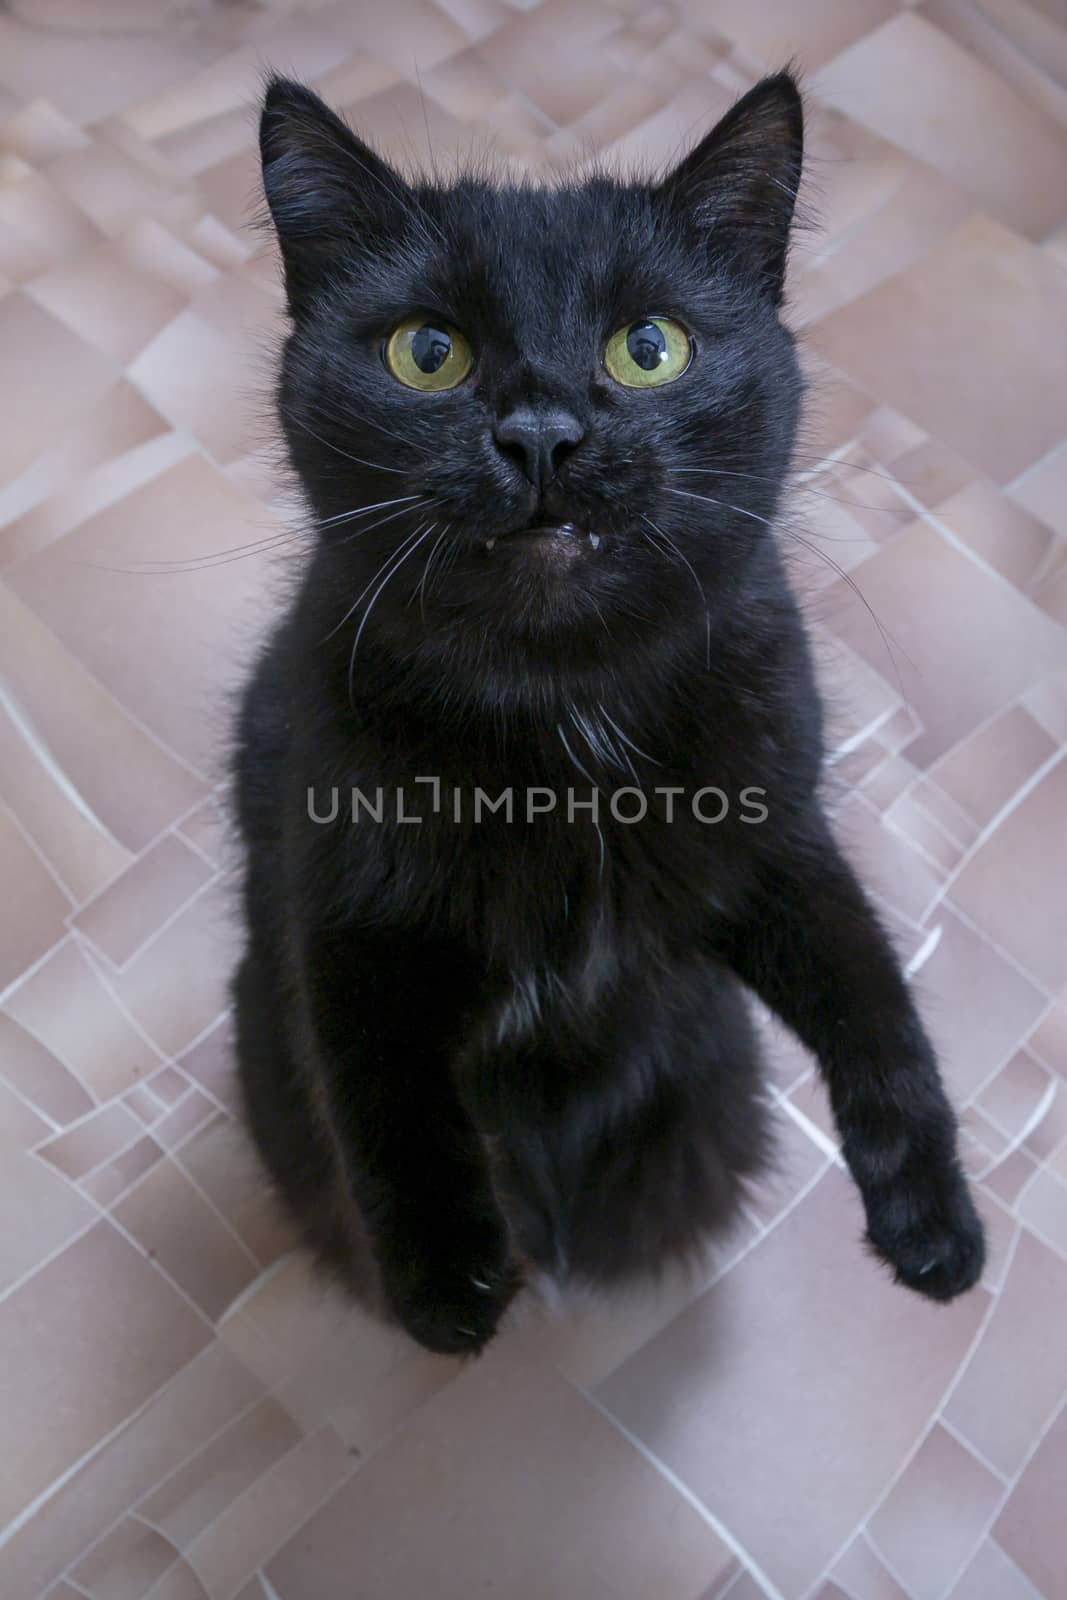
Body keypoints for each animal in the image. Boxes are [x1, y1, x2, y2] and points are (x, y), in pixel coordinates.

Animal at [233, 72, 985, 1350]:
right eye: (425, 353)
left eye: (647, 348)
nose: (541, 435)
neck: (564, 706)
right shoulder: (340, 884)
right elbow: (377, 1077)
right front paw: (448, 1282)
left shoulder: (770, 828)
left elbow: (866, 988)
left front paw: (928, 1217)